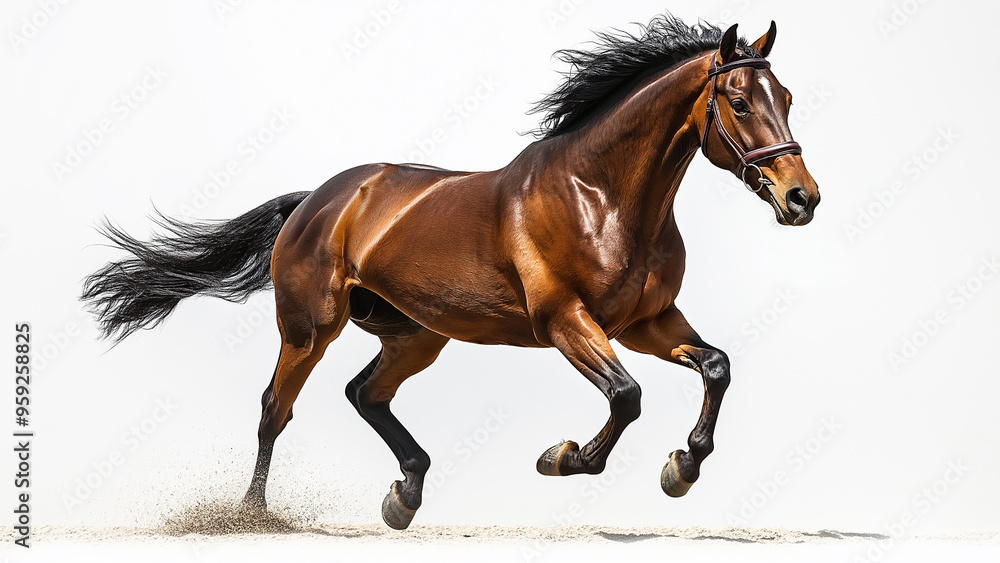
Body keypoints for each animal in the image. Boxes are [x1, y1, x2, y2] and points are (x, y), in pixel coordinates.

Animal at [82, 15, 819, 530]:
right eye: (740, 102)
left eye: (786, 95)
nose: (802, 199)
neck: (602, 196)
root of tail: (318, 198)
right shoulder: (565, 321)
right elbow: (627, 396)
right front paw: (564, 458)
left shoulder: (646, 321)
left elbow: (716, 365)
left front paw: (681, 466)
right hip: (310, 328)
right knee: (275, 408)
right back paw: (252, 513)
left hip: (416, 334)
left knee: (364, 392)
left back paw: (405, 494)